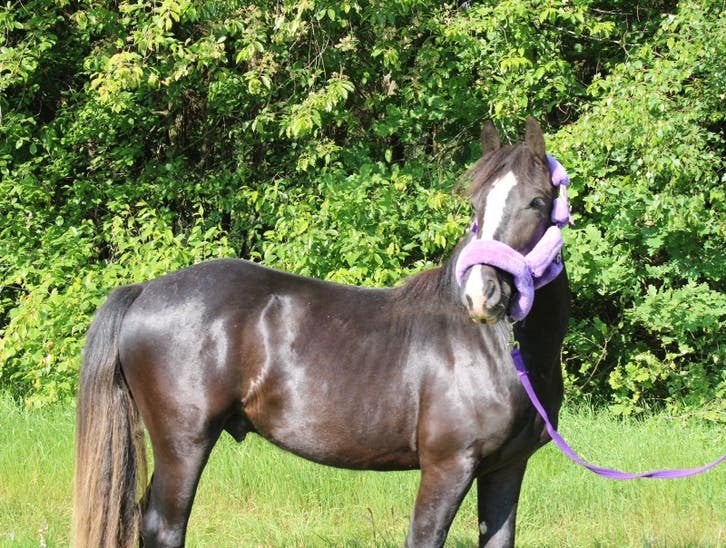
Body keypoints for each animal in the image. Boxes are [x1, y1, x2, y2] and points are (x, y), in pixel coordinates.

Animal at [73, 117, 569, 547]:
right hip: (183, 445)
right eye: (475, 206)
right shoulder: (448, 467)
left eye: (536, 202)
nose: (481, 295)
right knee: (164, 527)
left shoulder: (505, 468)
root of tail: (143, 290)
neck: (500, 354)